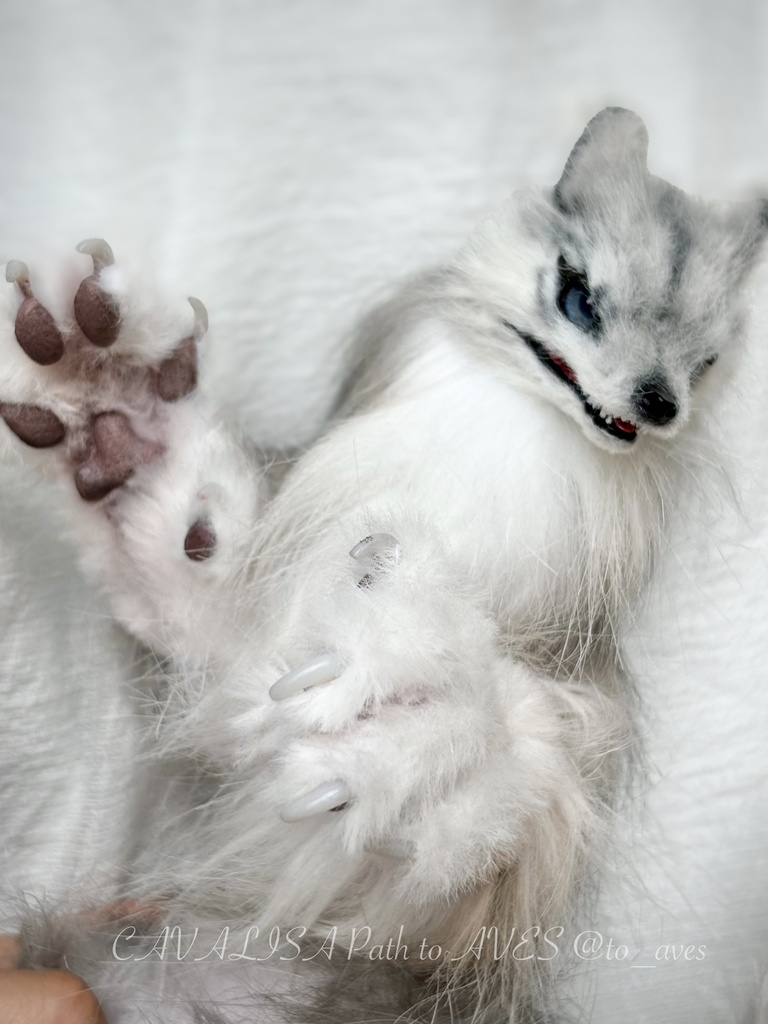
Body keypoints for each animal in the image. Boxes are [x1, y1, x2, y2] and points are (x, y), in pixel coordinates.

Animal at [1, 108, 764, 1022]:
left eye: (706, 363)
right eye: (578, 297)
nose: (658, 405)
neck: (503, 433)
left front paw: (408, 730)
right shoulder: (254, 643)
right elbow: (214, 606)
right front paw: (115, 418)